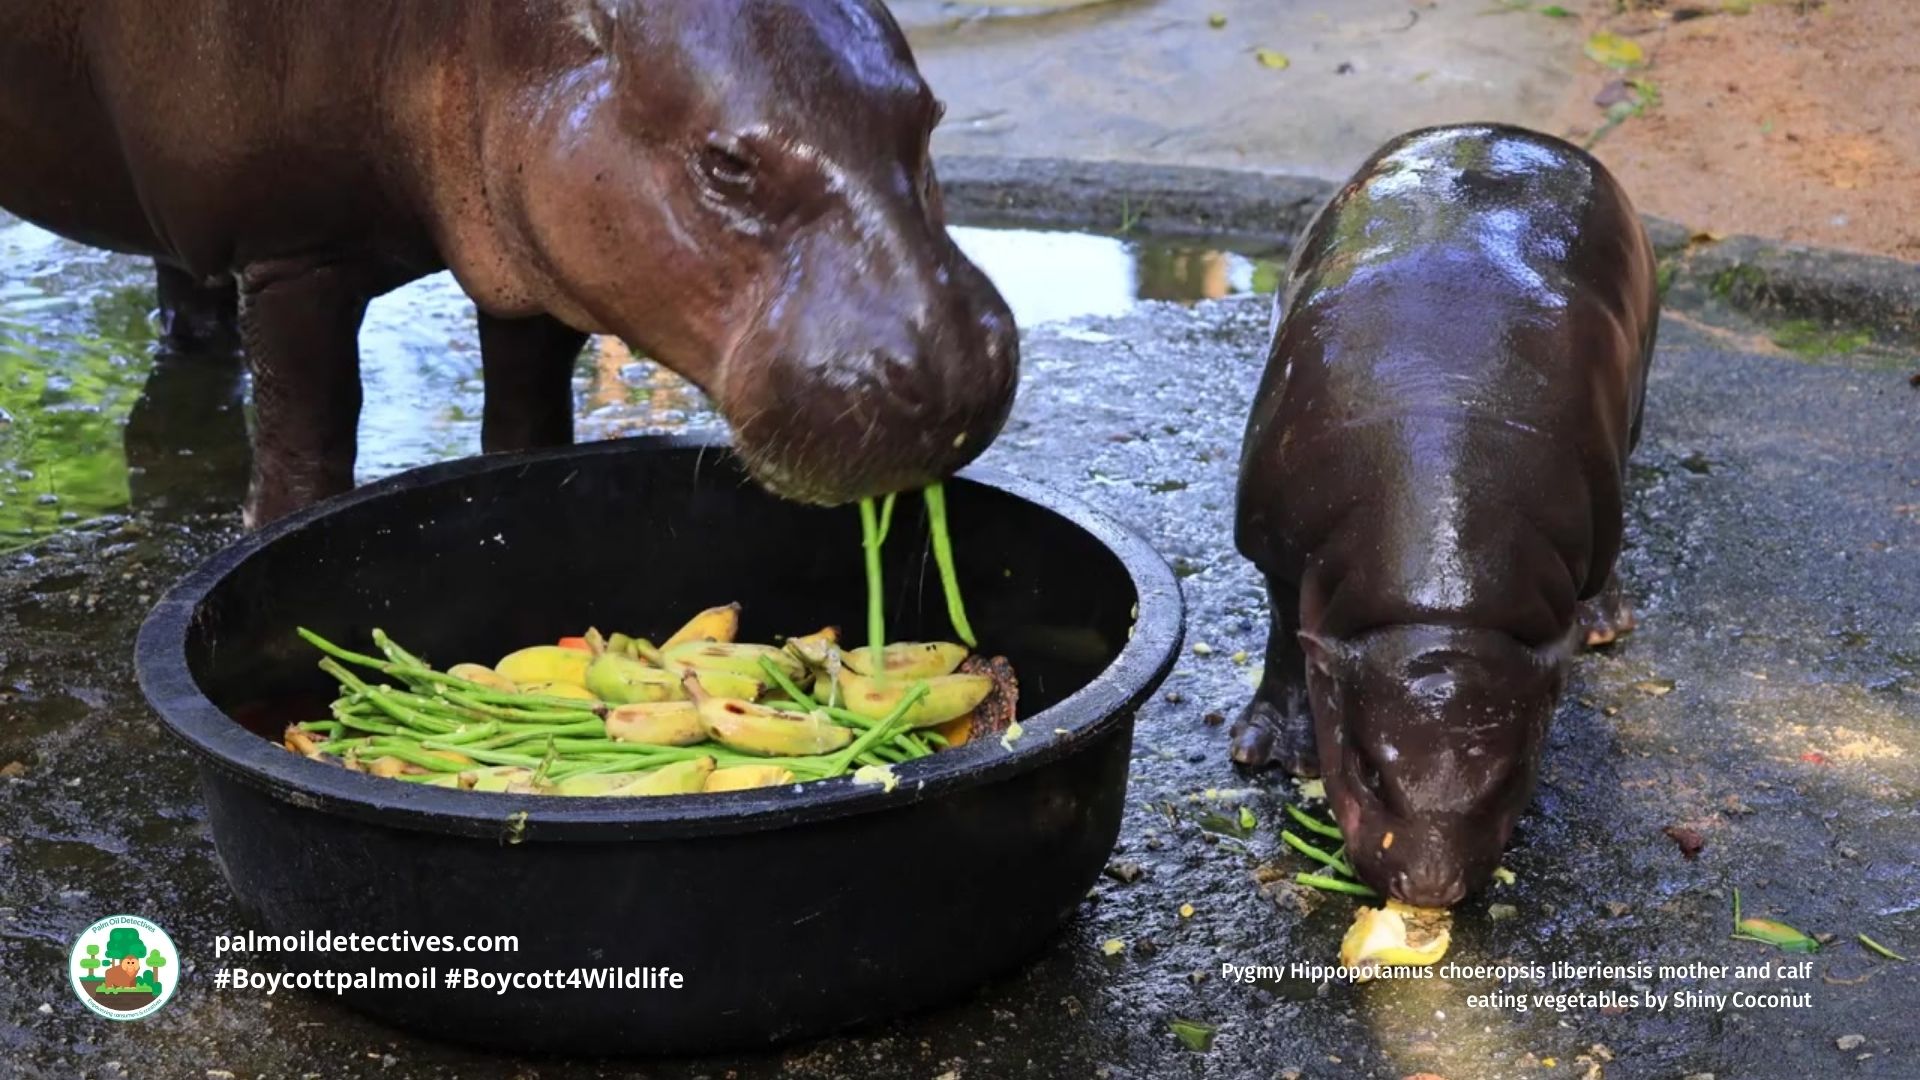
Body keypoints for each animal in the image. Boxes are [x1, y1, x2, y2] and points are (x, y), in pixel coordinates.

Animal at [0, 0, 1018, 525]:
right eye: (727, 162)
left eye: (929, 116)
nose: (955, 371)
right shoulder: (295, 251)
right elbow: (308, 447)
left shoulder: (531, 266)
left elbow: (527, 429)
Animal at [1229, 124, 1659, 907]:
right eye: (1369, 767)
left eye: (1510, 774)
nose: (1429, 887)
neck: (1438, 611)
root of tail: (1513, 132)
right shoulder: (1270, 544)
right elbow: (1283, 638)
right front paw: (1269, 749)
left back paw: (1603, 622)